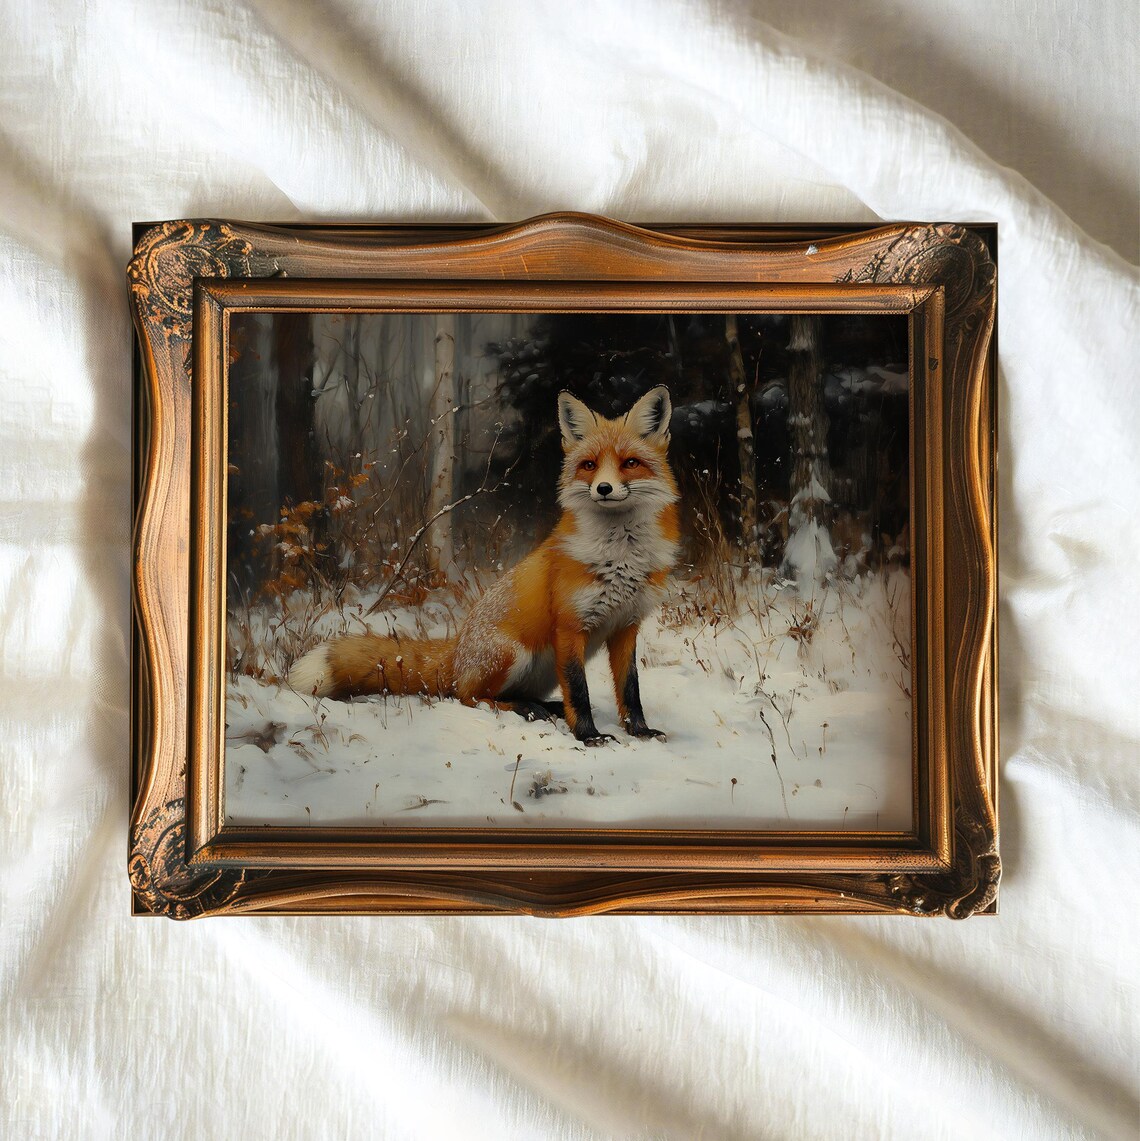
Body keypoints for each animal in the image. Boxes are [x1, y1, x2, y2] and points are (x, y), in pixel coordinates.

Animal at [287, 385, 680, 746]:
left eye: (630, 463)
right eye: (589, 465)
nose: (603, 488)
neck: (620, 557)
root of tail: (457, 651)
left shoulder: (626, 626)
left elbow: (630, 689)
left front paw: (640, 732)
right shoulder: (570, 627)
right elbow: (579, 691)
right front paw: (588, 736)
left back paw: (544, 707)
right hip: (511, 654)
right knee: (470, 697)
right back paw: (524, 710)